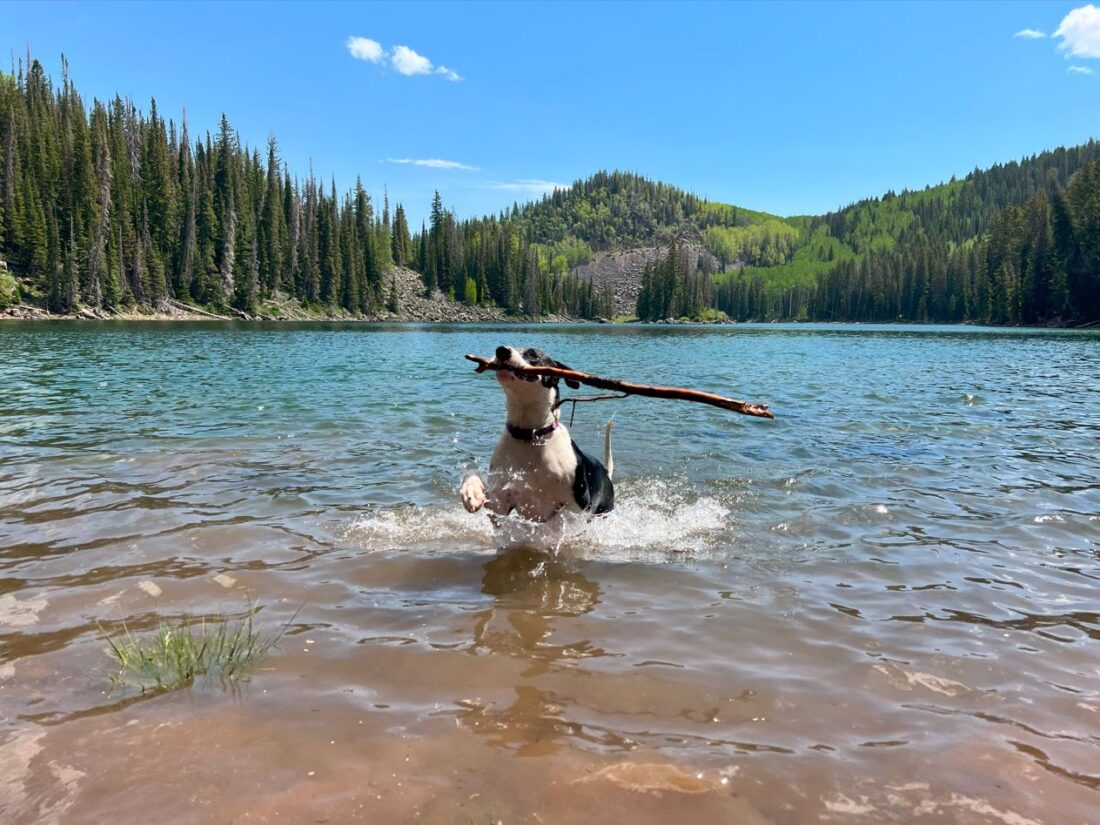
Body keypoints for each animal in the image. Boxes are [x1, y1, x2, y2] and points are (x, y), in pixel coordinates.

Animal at [459, 345, 616, 525]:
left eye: (533, 354)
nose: (502, 350)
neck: (530, 435)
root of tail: (605, 472)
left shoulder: (578, 505)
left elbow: (559, 521)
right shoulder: (500, 502)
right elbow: (472, 474)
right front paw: (471, 492)